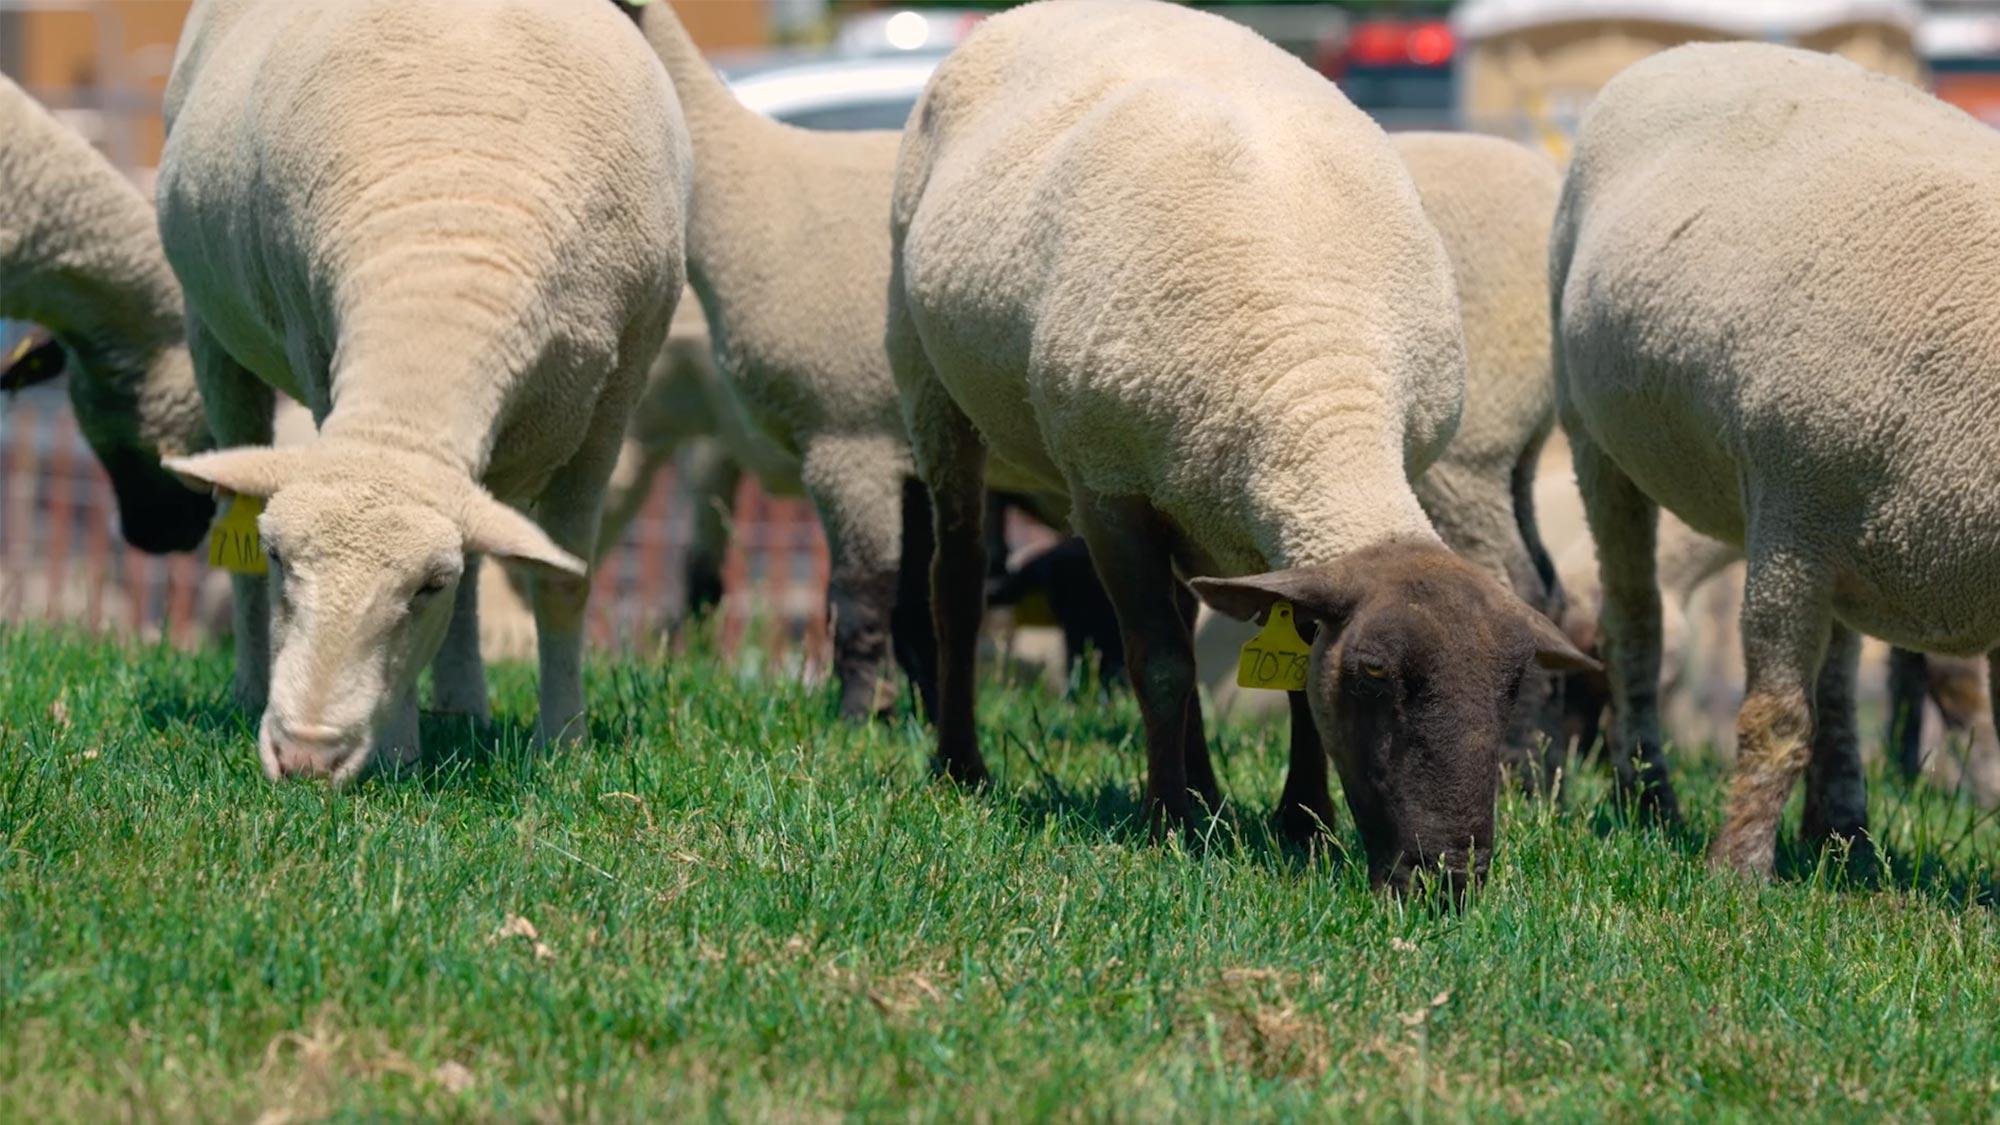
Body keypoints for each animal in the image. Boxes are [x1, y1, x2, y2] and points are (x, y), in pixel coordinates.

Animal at [156, 0, 692, 780]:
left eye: (426, 587)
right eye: (283, 556)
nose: (306, 755)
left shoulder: (616, 395)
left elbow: (563, 580)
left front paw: (564, 743)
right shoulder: (313, 346)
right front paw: (400, 751)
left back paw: (465, 705)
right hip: (211, 328)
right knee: (233, 505)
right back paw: (250, 685)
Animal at [892, 0, 1592, 888]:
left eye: (1510, 688)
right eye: (1373, 674)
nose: (1446, 877)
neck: (1318, 386)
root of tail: (1025, 14)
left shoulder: (1270, 523)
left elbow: (1287, 674)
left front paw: (1303, 823)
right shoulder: (1106, 489)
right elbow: (1157, 660)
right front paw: (1167, 821)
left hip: (1194, 483)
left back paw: (1211, 790)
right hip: (929, 378)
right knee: (956, 579)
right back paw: (964, 766)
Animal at [1552, 43, 2000, 872]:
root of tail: (1686, 49)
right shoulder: (1790, 514)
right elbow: (1775, 715)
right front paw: (1735, 873)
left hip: (1848, 522)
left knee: (1839, 680)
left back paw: (1842, 834)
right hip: (1597, 440)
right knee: (1635, 625)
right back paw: (1649, 799)